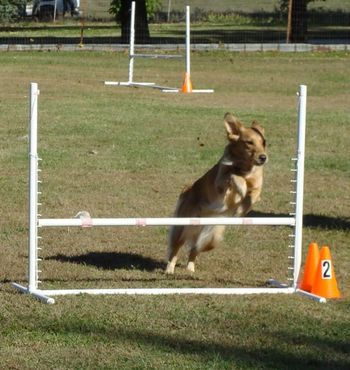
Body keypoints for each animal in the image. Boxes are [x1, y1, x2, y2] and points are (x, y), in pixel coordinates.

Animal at [167, 113, 268, 274]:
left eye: (264, 143)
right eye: (249, 142)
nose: (263, 157)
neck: (246, 168)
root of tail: (188, 189)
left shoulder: (257, 184)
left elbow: (254, 195)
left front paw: (241, 209)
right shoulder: (220, 182)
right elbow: (234, 175)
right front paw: (242, 187)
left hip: (212, 236)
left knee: (195, 248)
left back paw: (190, 267)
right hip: (185, 225)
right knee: (176, 248)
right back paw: (169, 268)